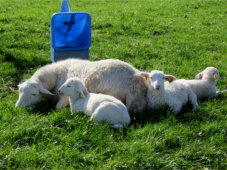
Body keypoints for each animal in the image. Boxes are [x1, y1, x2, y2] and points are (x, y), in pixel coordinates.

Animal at [15, 58, 147, 113]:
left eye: (34, 94)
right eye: (20, 91)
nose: (17, 107)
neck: (56, 74)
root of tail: (136, 75)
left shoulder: (64, 97)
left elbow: (58, 108)